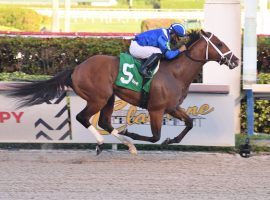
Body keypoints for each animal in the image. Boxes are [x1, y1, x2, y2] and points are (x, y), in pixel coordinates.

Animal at [6, 29, 238, 155]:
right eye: (219, 44)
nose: (235, 60)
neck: (175, 72)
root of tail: (77, 68)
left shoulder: (172, 107)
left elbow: (188, 123)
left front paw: (171, 141)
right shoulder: (156, 109)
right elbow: (154, 136)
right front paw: (132, 133)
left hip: (109, 97)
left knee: (104, 122)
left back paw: (128, 145)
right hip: (98, 98)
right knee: (83, 118)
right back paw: (104, 143)